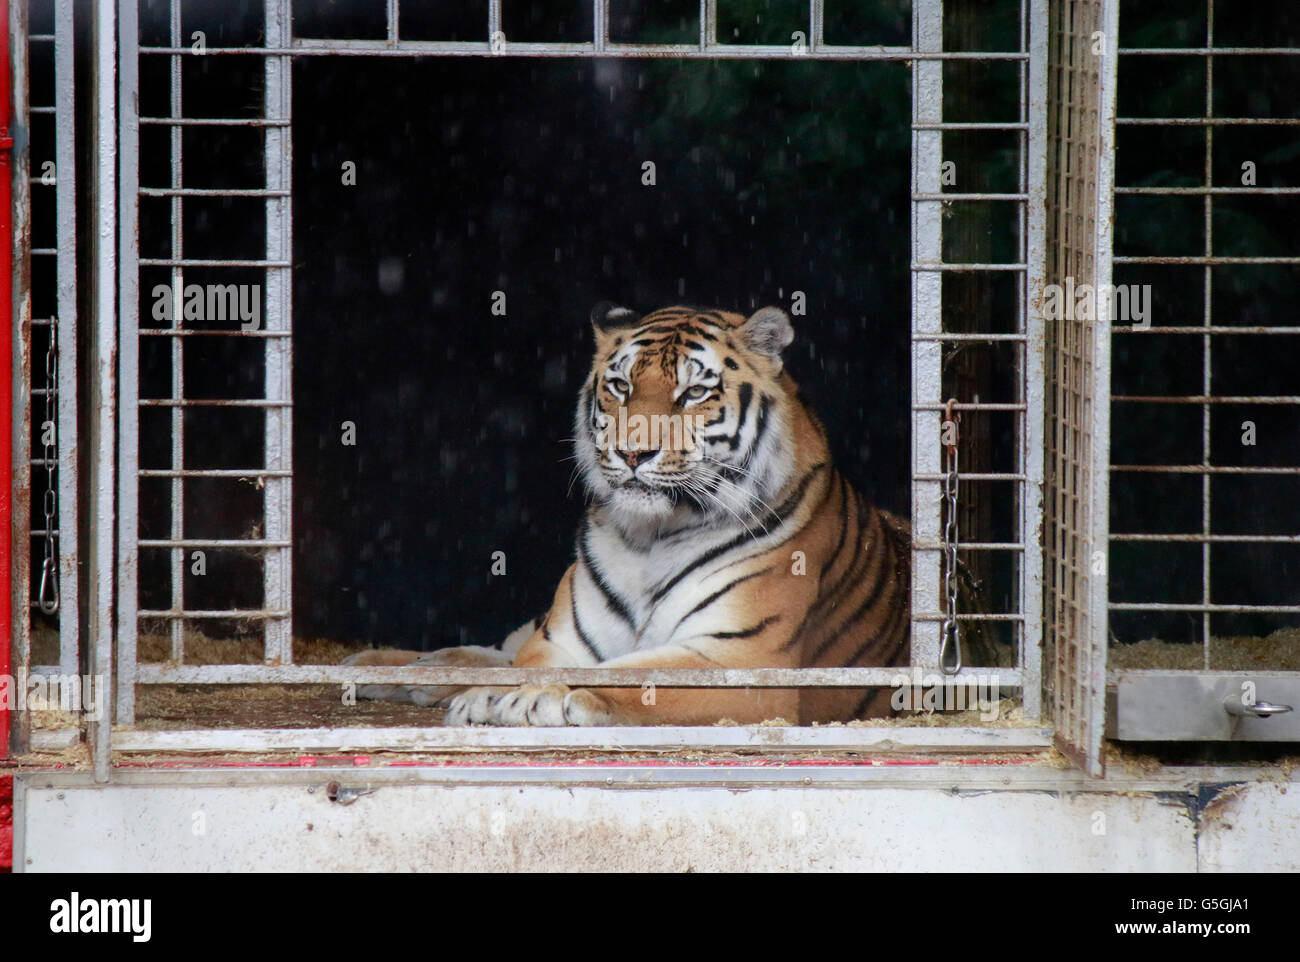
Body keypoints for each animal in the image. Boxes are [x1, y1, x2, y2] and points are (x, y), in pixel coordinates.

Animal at [345, 304, 915, 722]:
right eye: (621, 386)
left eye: (694, 392)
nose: (632, 452)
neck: (651, 537)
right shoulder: (558, 639)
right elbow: (534, 663)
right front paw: (497, 696)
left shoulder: (744, 658)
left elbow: (632, 672)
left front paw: (533, 698)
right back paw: (372, 665)